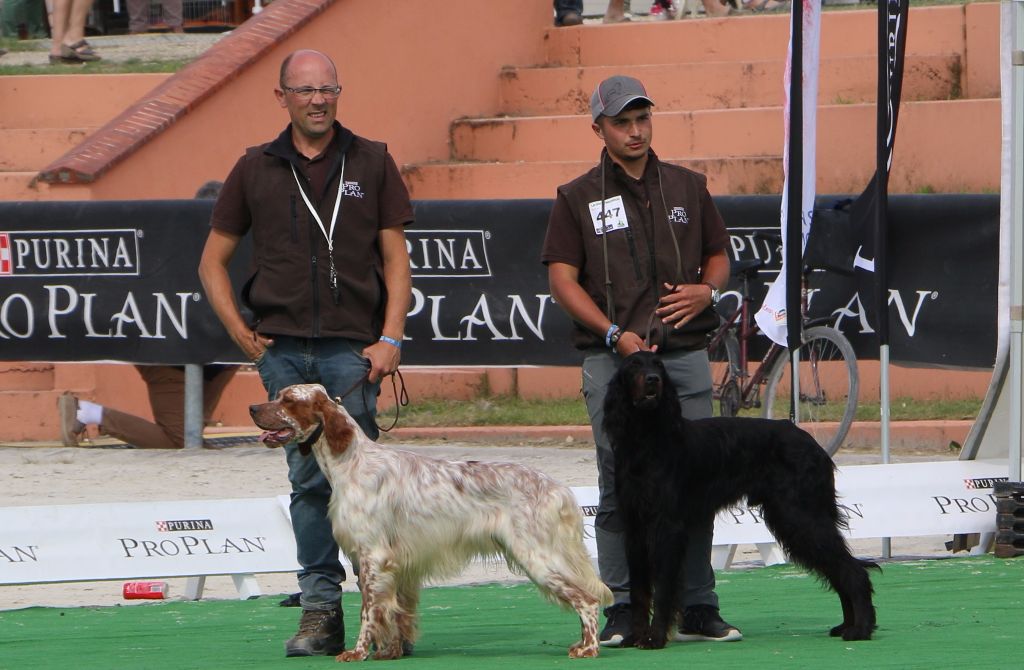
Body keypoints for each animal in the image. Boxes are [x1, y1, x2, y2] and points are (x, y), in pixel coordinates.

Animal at [602, 352, 876, 651]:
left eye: (659, 365)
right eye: (634, 366)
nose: (653, 380)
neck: (647, 439)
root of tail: (813, 444)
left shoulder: (667, 526)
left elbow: (662, 588)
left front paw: (655, 637)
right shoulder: (634, 528)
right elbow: (639, 590)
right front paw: (636, 636)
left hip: (800, 516)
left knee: (852, 570)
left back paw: (860, 628)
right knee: (838, 568)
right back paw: (847, 625)